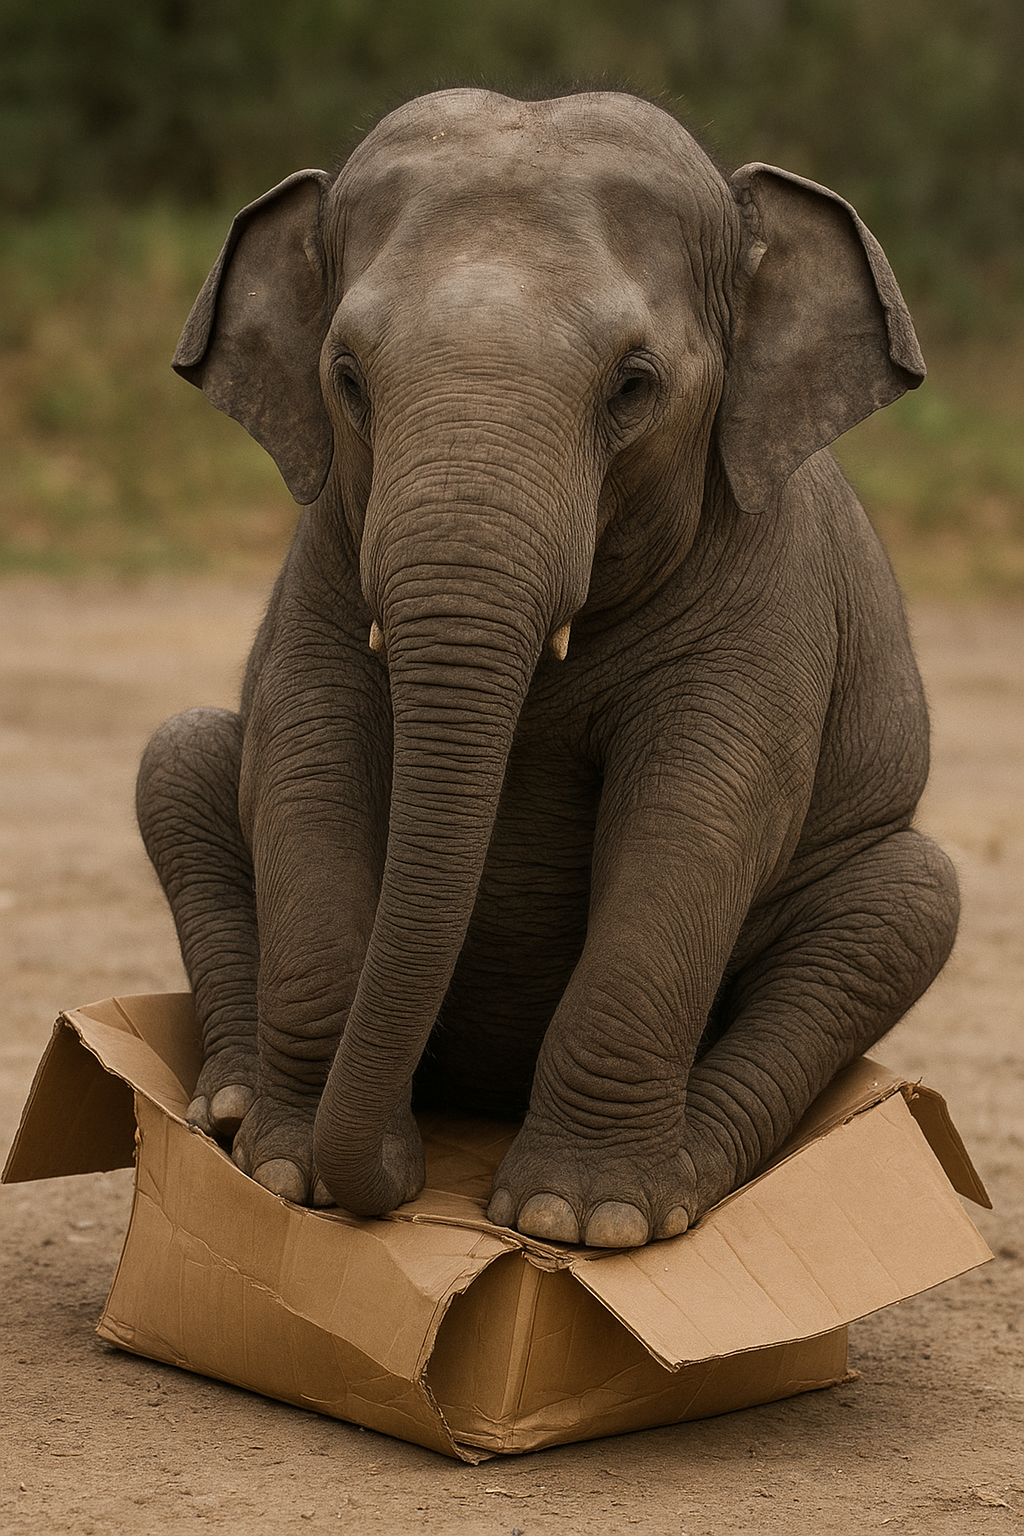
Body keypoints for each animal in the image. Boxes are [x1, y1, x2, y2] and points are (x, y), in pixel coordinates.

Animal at [136, 87, 959, 1250]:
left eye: (633, 385)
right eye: (346, 377)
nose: (389, 1185)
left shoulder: (767, 602)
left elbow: (696, 814)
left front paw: (581, 1222)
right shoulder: (324, 562)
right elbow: (308, 761)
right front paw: (290, 1175)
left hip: (882, 887)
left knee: (908, 900)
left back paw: (692, 1181)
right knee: (181, 757)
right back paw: (228, 1109)